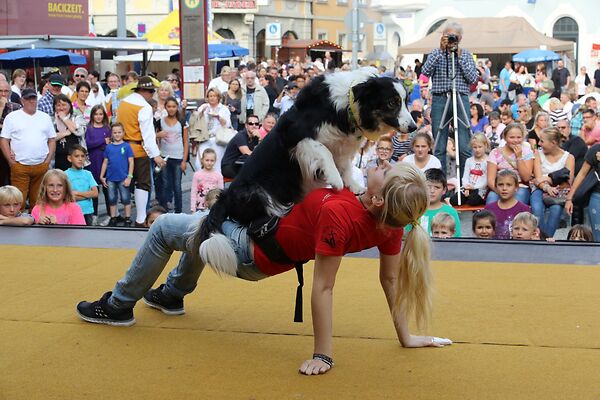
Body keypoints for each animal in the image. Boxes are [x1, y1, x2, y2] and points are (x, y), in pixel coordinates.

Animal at [199, 67, 414, 268]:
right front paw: (335, 180)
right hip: (255, 191)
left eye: (404, 100)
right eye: (392, 102)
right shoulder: (297, 137)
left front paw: (354, 186)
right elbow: (324, 152)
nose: (413, 127)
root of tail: (225, 197)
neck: (346, 106)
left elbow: (345, 165)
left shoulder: (341, 146)